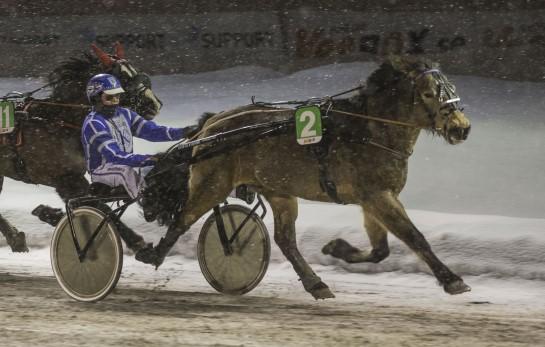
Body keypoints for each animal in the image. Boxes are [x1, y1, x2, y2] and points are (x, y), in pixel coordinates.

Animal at [0, 43, 162, 253]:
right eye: (121, 78)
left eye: (136, 71)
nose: (154, 104)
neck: (57, 120)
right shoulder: (66, 180)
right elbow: (99, 206)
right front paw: (137, 242)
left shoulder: (74, 178)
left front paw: (48, 213)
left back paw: (16, 238)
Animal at [137, 55, 472, 300]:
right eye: (428, 93)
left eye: (452, 88)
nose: (462, 127)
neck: (369, 131)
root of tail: (212, 124)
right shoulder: (377, 195)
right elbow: (414, 236)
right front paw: (452, 280)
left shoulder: (374, 197)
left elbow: (381, 249)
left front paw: (337, 248)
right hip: (213, 183)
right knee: (183, 218)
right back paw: (153, 253)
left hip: (280, 192)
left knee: (285, 239)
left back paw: (316, 284)